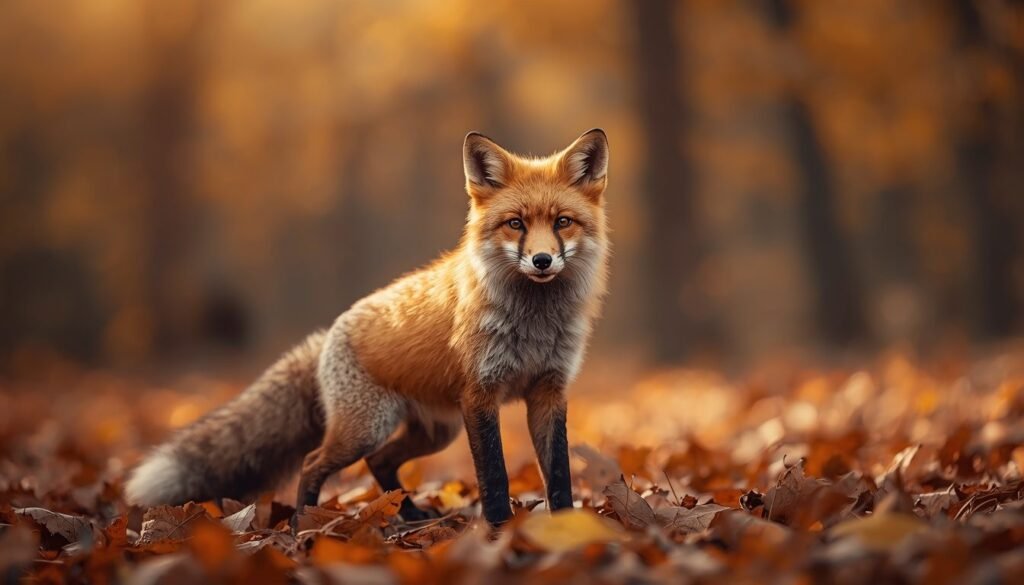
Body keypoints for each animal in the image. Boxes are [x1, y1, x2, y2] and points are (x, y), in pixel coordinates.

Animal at [125, 129, 610, 526]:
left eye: (562, 222)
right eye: (515, 224)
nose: (542, 260)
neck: (534, 323)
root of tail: (327, 335)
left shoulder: (548, 391)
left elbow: (559, 473)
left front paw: (565, 528)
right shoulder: (481, 395)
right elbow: (494, 475)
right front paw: (499, 529)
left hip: (434, 431)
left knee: (380, 462)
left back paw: (409, 515)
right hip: (367, 428)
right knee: (313, 462)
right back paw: (304, 523)